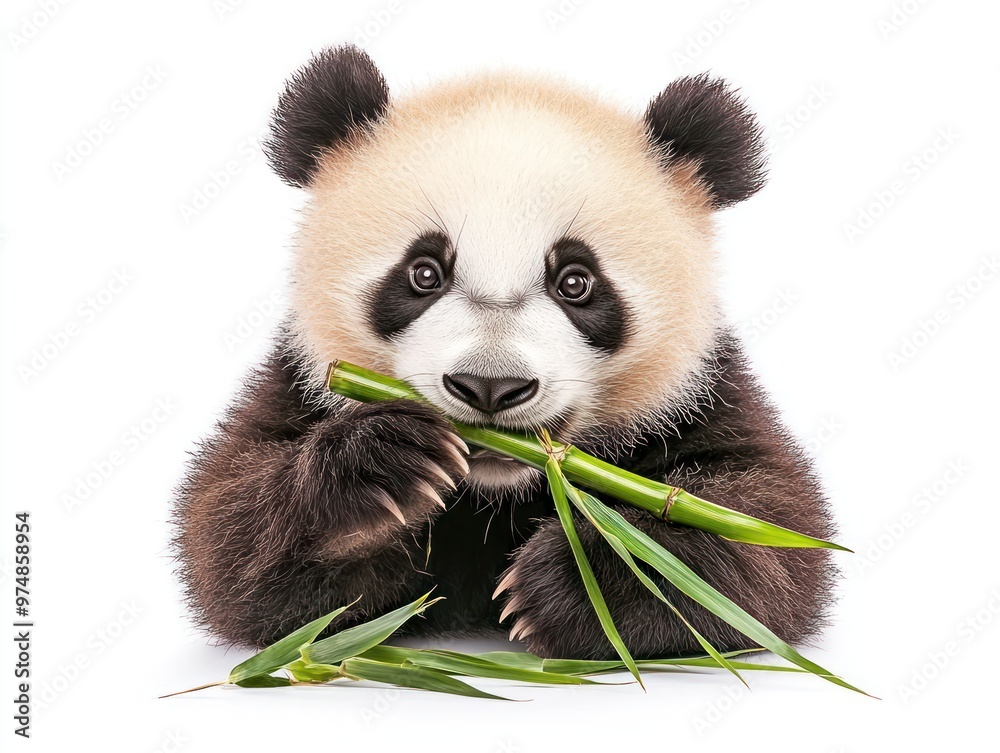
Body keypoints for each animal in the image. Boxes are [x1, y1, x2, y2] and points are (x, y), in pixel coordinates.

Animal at [173, 45, 835, 659]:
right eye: (423, 273)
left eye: (576, 282)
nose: (489, 387)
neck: (499, 493)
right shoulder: (299, 379)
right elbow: (227, 538)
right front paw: (382, 466)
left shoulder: (701, 392)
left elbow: (769, 536)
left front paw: (570, 581)